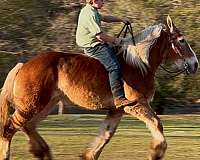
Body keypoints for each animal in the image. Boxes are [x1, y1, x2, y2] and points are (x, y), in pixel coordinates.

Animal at [0, 15, 198, 160]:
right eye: (181, 40)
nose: (195, 64)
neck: (139, 64)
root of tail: (23, 66)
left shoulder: (118, 110)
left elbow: (106, 134)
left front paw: (88, 155)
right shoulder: (136, 105)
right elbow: (157, 124)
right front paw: (156, 152)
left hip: (46, 104)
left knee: (28, 126)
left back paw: (43, 151)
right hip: (32, 105)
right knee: (9, 128)